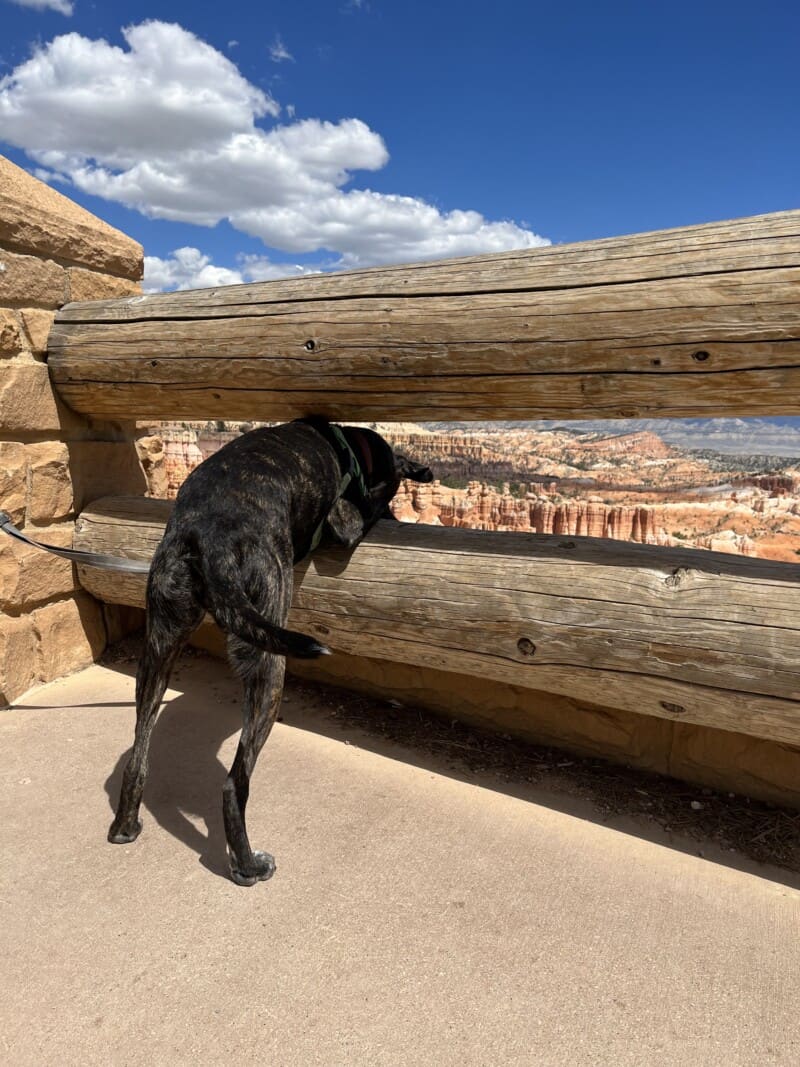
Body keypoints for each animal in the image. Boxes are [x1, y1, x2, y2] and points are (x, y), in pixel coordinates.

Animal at [109, 416, 435, 883]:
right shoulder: (344, 519)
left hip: (160, 641)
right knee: (234, 782)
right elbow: (369, 508)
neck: (350, 447)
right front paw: (386, 504)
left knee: (139, 751)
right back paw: (247, 865)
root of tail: (207, 538)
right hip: (269, 653)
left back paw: (125, 825)